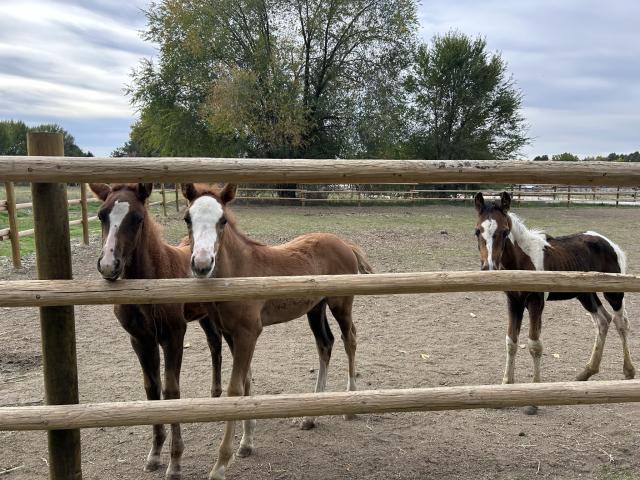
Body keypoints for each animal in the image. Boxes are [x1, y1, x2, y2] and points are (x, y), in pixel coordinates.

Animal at [87, 182, 222, 478]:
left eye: (138, 218)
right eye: (101, 215)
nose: (108, 266)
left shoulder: (173, 337)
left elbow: (171, 391)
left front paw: (175, 461)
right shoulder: (140, 340)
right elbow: (152, 389)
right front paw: (154, 454)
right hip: (204, 317)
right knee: (214, 345)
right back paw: (215, 394)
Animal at [178, 182, 372, 480]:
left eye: (222, 220)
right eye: (188, 218)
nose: (201, 263)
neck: (239, 271)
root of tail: (344, 243)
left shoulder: (248, 333)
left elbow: (235, 388)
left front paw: (221, 464)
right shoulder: (230, 333)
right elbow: (247, 381)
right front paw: (246, 443)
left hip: (341, 302)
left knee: (349, 338)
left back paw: (349, 404)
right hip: (316, 308)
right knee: (325, 344)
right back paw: (310, 417)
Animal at [472, 191, 632, 408]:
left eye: (505, 232)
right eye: (477, 231)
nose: (489, 267)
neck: (523, 261)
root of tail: (610, 243)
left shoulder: (536, 302)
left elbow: (534, 344)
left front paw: (533, 400)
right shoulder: (514, 302)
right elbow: (511, 341)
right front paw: (505, 386)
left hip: (613, 293)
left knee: (620, 322)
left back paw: (628, 371)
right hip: (586, 294)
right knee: (602, 321)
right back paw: (585, 373)